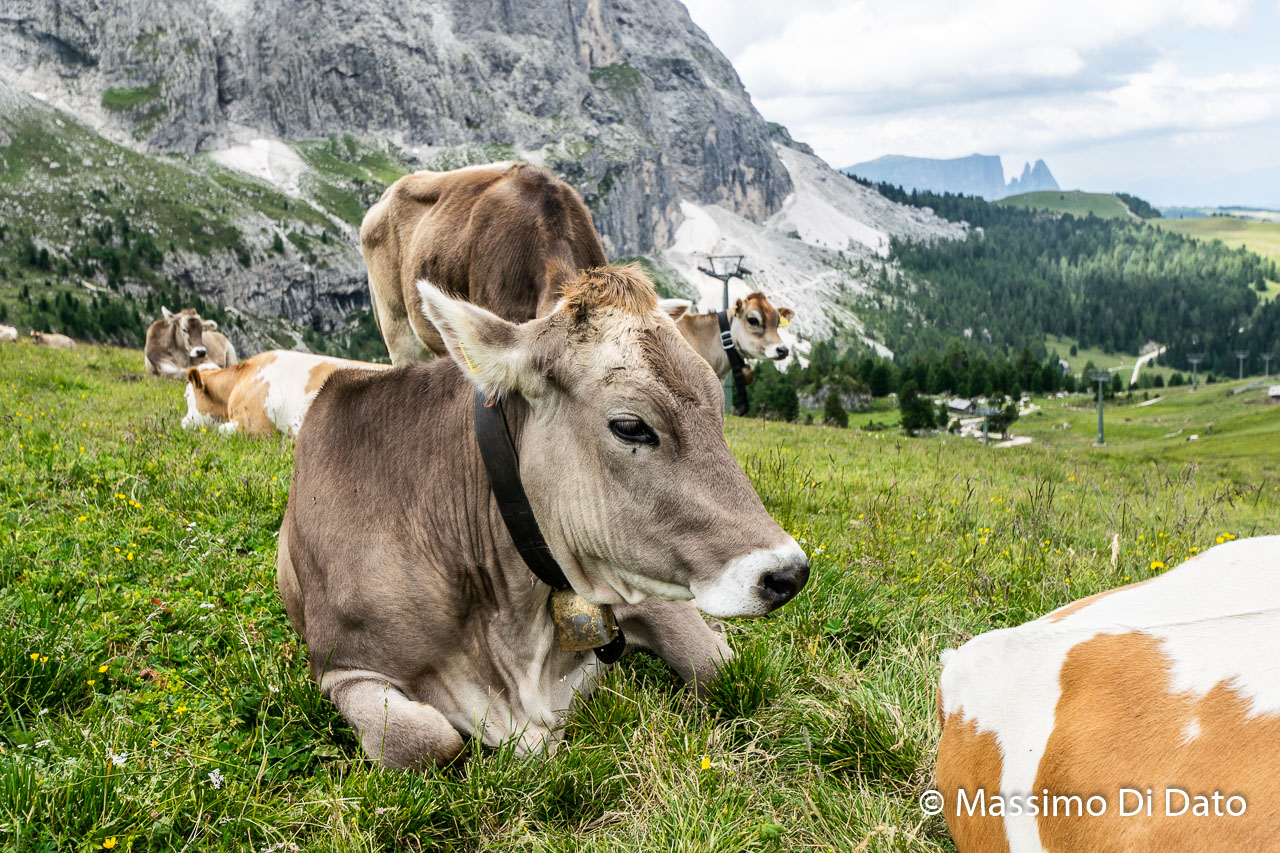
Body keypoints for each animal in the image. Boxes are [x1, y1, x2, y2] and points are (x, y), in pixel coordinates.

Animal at [277, 263, 811, 769]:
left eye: (720, 410)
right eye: (630, 425)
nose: (790, 573)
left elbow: (719, 666)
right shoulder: (341, 666)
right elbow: (424, 742)